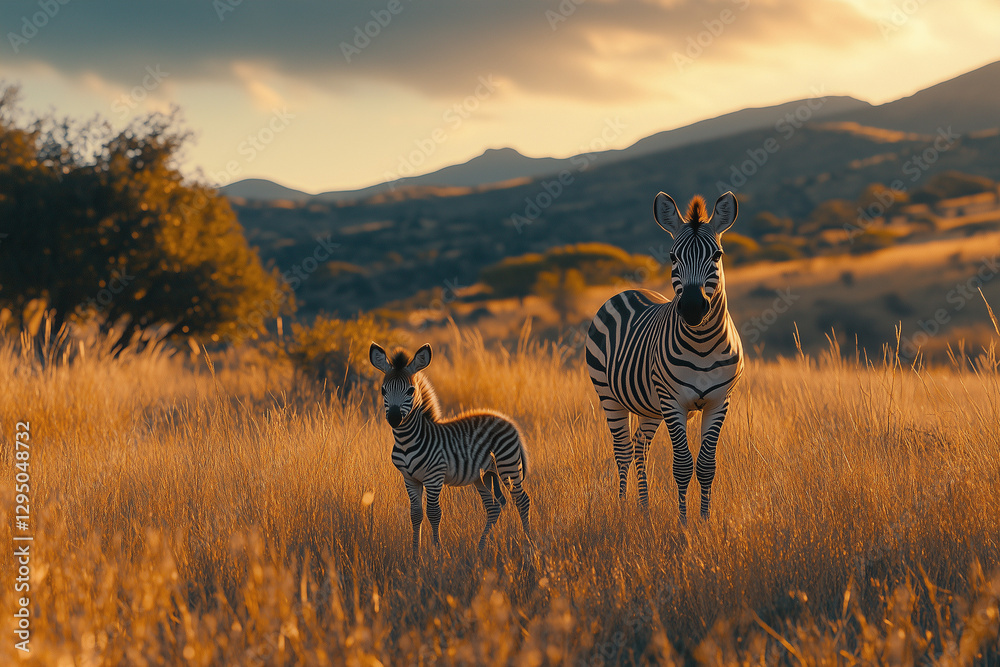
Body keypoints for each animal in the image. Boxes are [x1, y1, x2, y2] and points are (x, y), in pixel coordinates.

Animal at [368, 342, 532, 556]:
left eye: (411, 391)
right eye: (383, 391)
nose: (394, 419)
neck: (406, 441)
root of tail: (505, 420)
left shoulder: (434, 477)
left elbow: (433, 513)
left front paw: (437, 552)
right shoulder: (409, 479)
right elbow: (416, 514)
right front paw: (415, 554)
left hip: (508, 467)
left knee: (522, 501)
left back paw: (529, 545)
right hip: (484, 475)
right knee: (493, 507)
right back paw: (480, 548)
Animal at [586, 191, 744, 523]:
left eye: (717, 255)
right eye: (673, 257)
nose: (693, 308)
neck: (703, 343)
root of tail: (629, 291)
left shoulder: (719, 402)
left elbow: (706, 465)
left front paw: (704, 520)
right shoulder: (673, 403)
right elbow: (682, 465)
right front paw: (683, 523)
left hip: (648, 407)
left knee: (639, 448)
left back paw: (644, 507)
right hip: (609, 396)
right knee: (622, 450)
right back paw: (623, 505)